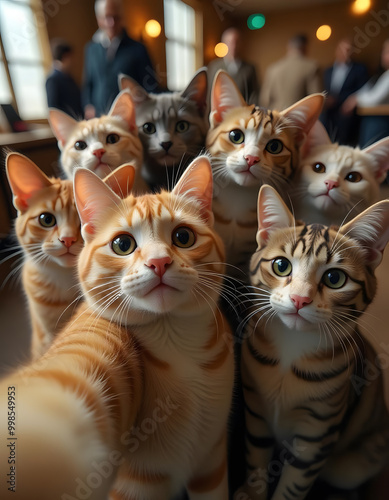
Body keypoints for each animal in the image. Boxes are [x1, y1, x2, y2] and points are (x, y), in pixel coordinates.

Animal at [236, 185, 388, 500]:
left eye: (334, 278)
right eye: (281, 265)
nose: (299, 299)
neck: (291, 349)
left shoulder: (317, 434)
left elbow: (293, 487)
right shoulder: (255, 410)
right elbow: (256, 463)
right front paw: (251, 492)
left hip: (354, 462)